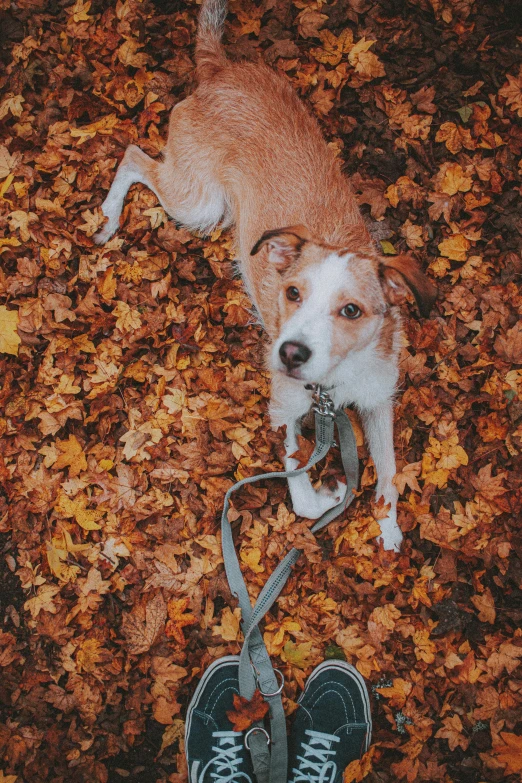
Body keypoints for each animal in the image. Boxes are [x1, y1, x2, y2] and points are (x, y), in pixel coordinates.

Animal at [94, 0, 434, 552]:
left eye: (352, 310)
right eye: (292, 293)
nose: (289, 353)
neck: (333, 385)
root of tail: (220, 70)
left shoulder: (379, 400)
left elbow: (387, 474)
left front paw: (387, 527)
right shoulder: (286, 408)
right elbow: (299, 489)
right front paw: (328, 492)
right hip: (198, 202)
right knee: (133, 156)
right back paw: (107, 215)